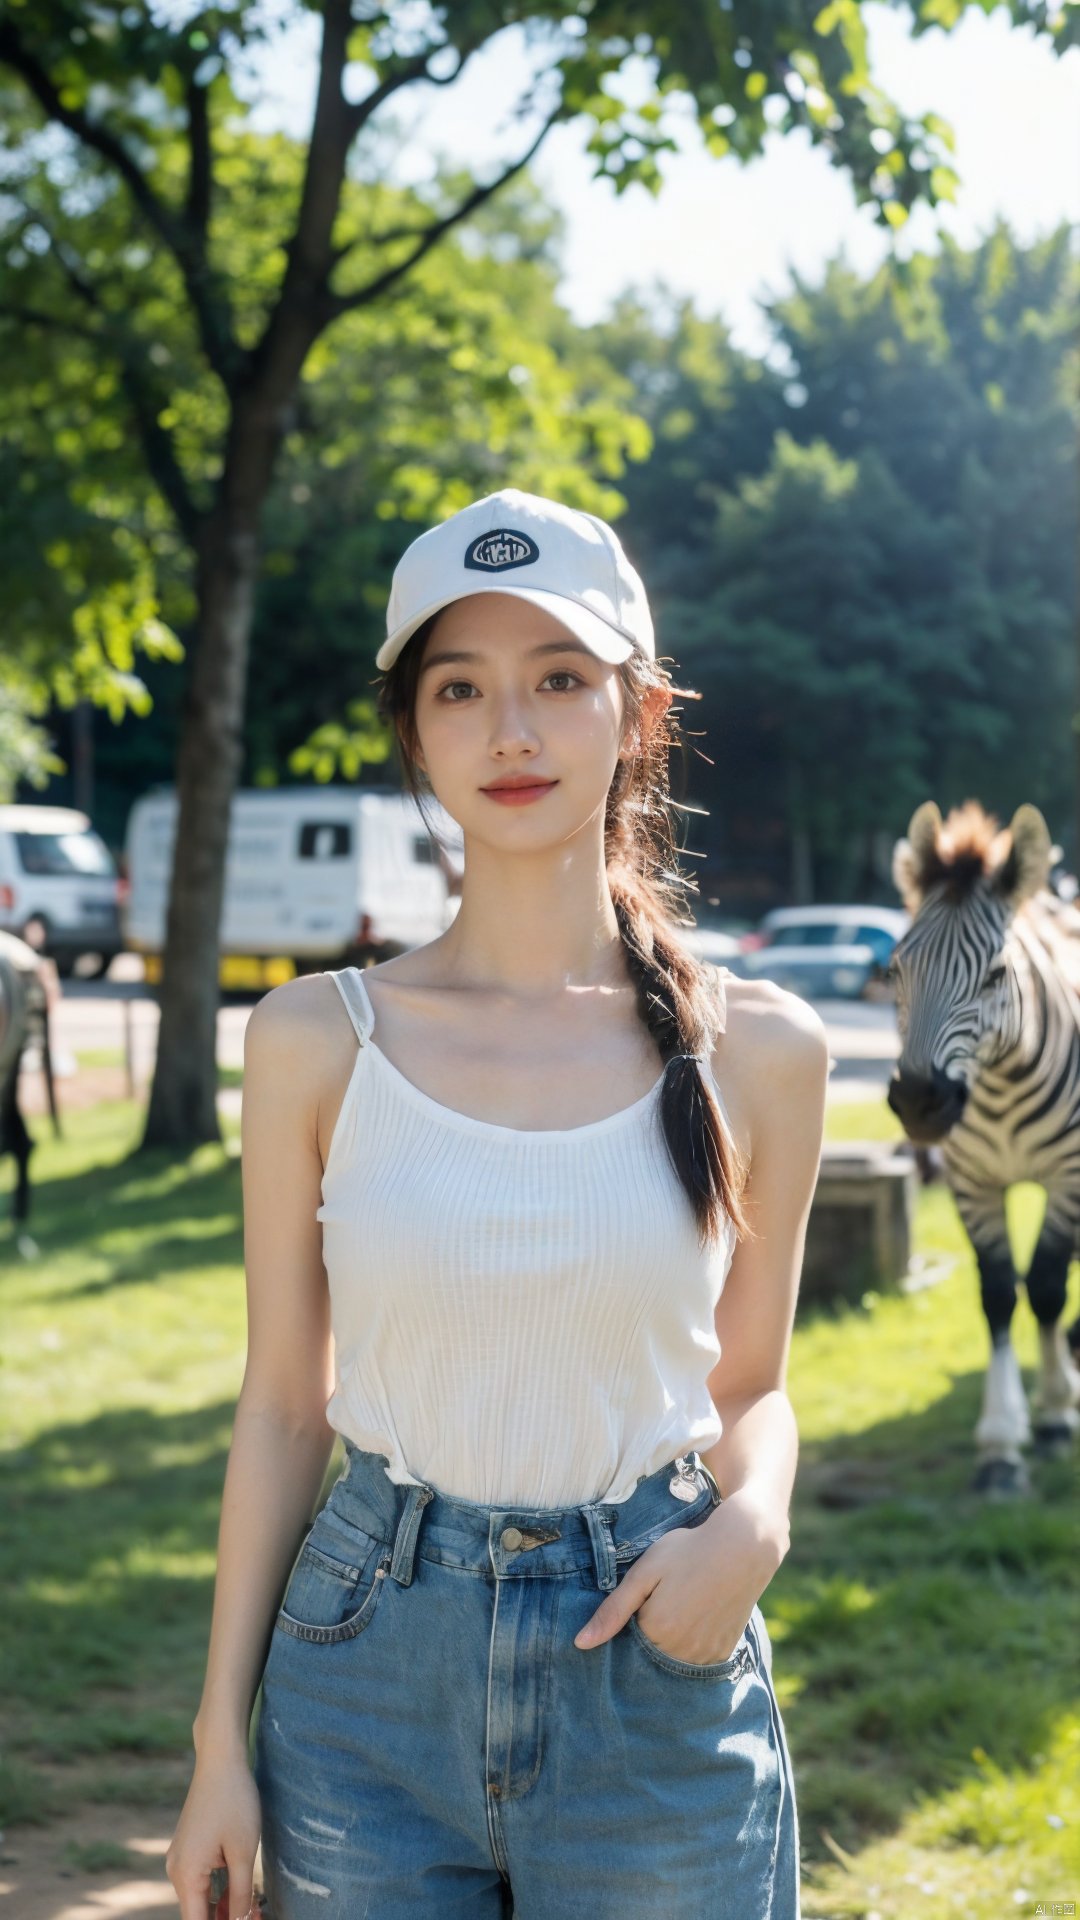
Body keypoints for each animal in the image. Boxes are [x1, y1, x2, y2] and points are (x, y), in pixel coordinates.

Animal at [883, 794, 1076, 1497]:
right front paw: (1000, 1445)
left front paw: (1053, 1416)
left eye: (995, 974)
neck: (1000, 1088)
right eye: (895, 968)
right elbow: (998, 1293)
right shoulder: (971, 1183)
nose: (919, 1101)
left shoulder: (1069, 1180)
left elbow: (1045, 1285)